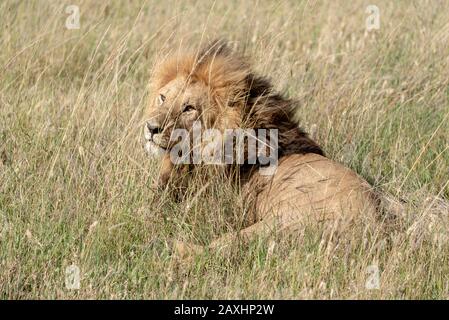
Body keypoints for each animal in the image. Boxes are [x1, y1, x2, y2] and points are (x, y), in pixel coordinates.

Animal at [143, 40, 378, 255]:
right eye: (162, 97)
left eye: (189, 108)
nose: (151, 127)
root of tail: (377, 228)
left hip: (277, 224)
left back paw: (163, 246)